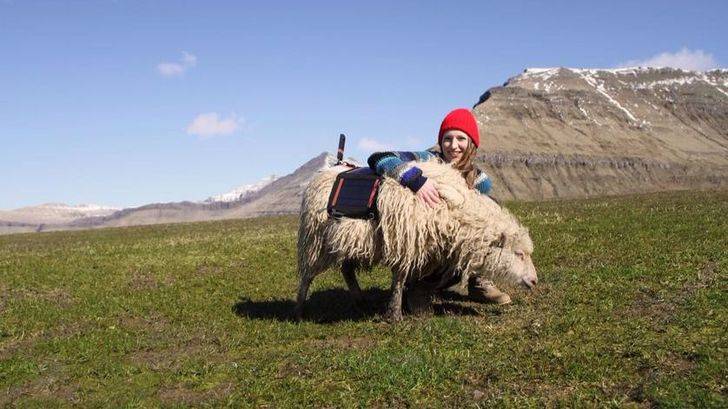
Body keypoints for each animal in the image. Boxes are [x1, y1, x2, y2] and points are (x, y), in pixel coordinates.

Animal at [295, 159, 538, 322]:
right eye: (519, 254)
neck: (453, 211)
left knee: (346, 270)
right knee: (307, 276)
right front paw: (394, 314)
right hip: (314, 239)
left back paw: (359, 300)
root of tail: (323, 172)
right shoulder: (406, 241)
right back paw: (300, 310)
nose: (535, 281)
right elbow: (399, 278)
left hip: (348, 238)